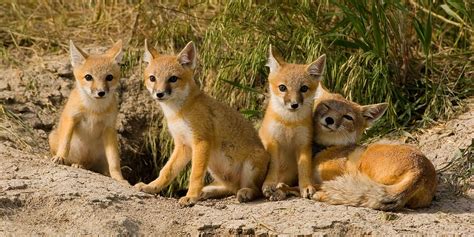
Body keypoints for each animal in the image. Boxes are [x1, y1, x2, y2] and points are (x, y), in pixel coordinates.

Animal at [48, 40, 126, 181]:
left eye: (109, 77)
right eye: (88, 77)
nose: (101, 92)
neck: (94, 110)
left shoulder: (109, 127)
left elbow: (114, 161)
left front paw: (119, 178)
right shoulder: (71, 117)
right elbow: (65, 142)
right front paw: (60, 156)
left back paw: (81, 165)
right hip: (52, 136)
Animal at [134, 40, 270, 206]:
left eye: (173, 79)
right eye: (152, 78)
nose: (159, 94)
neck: (177, 113)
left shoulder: (200, 142)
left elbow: (195, 175)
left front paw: (191, 196)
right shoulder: (183, 145)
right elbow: (167, 171)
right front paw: (152, 187)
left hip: (247, 167)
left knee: (255, 189)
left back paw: (245, 193)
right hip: (216, 169)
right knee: (230, 188)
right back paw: (207, 192)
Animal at [260, 45, 326, 200]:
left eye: (304, 88)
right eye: (282, 88)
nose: (294, 104)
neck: (289, 123)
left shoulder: (303, 144)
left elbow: (304, 168)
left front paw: (306, 186)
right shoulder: (272, 142)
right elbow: (273, 166)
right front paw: (269, 184)